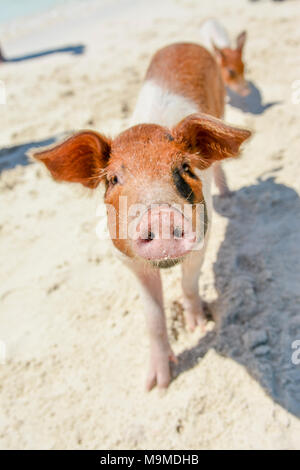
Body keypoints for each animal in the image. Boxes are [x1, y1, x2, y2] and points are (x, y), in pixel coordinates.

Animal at [29, 43, 251, 390]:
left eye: (184, 168)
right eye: (113, 179)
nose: (160, 215)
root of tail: (184, 43)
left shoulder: (203, 238)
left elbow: (189, 285)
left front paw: (198, 327)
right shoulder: (127, 260)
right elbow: (153, 317)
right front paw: (156, 385)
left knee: (219, 166)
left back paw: (228, 195)